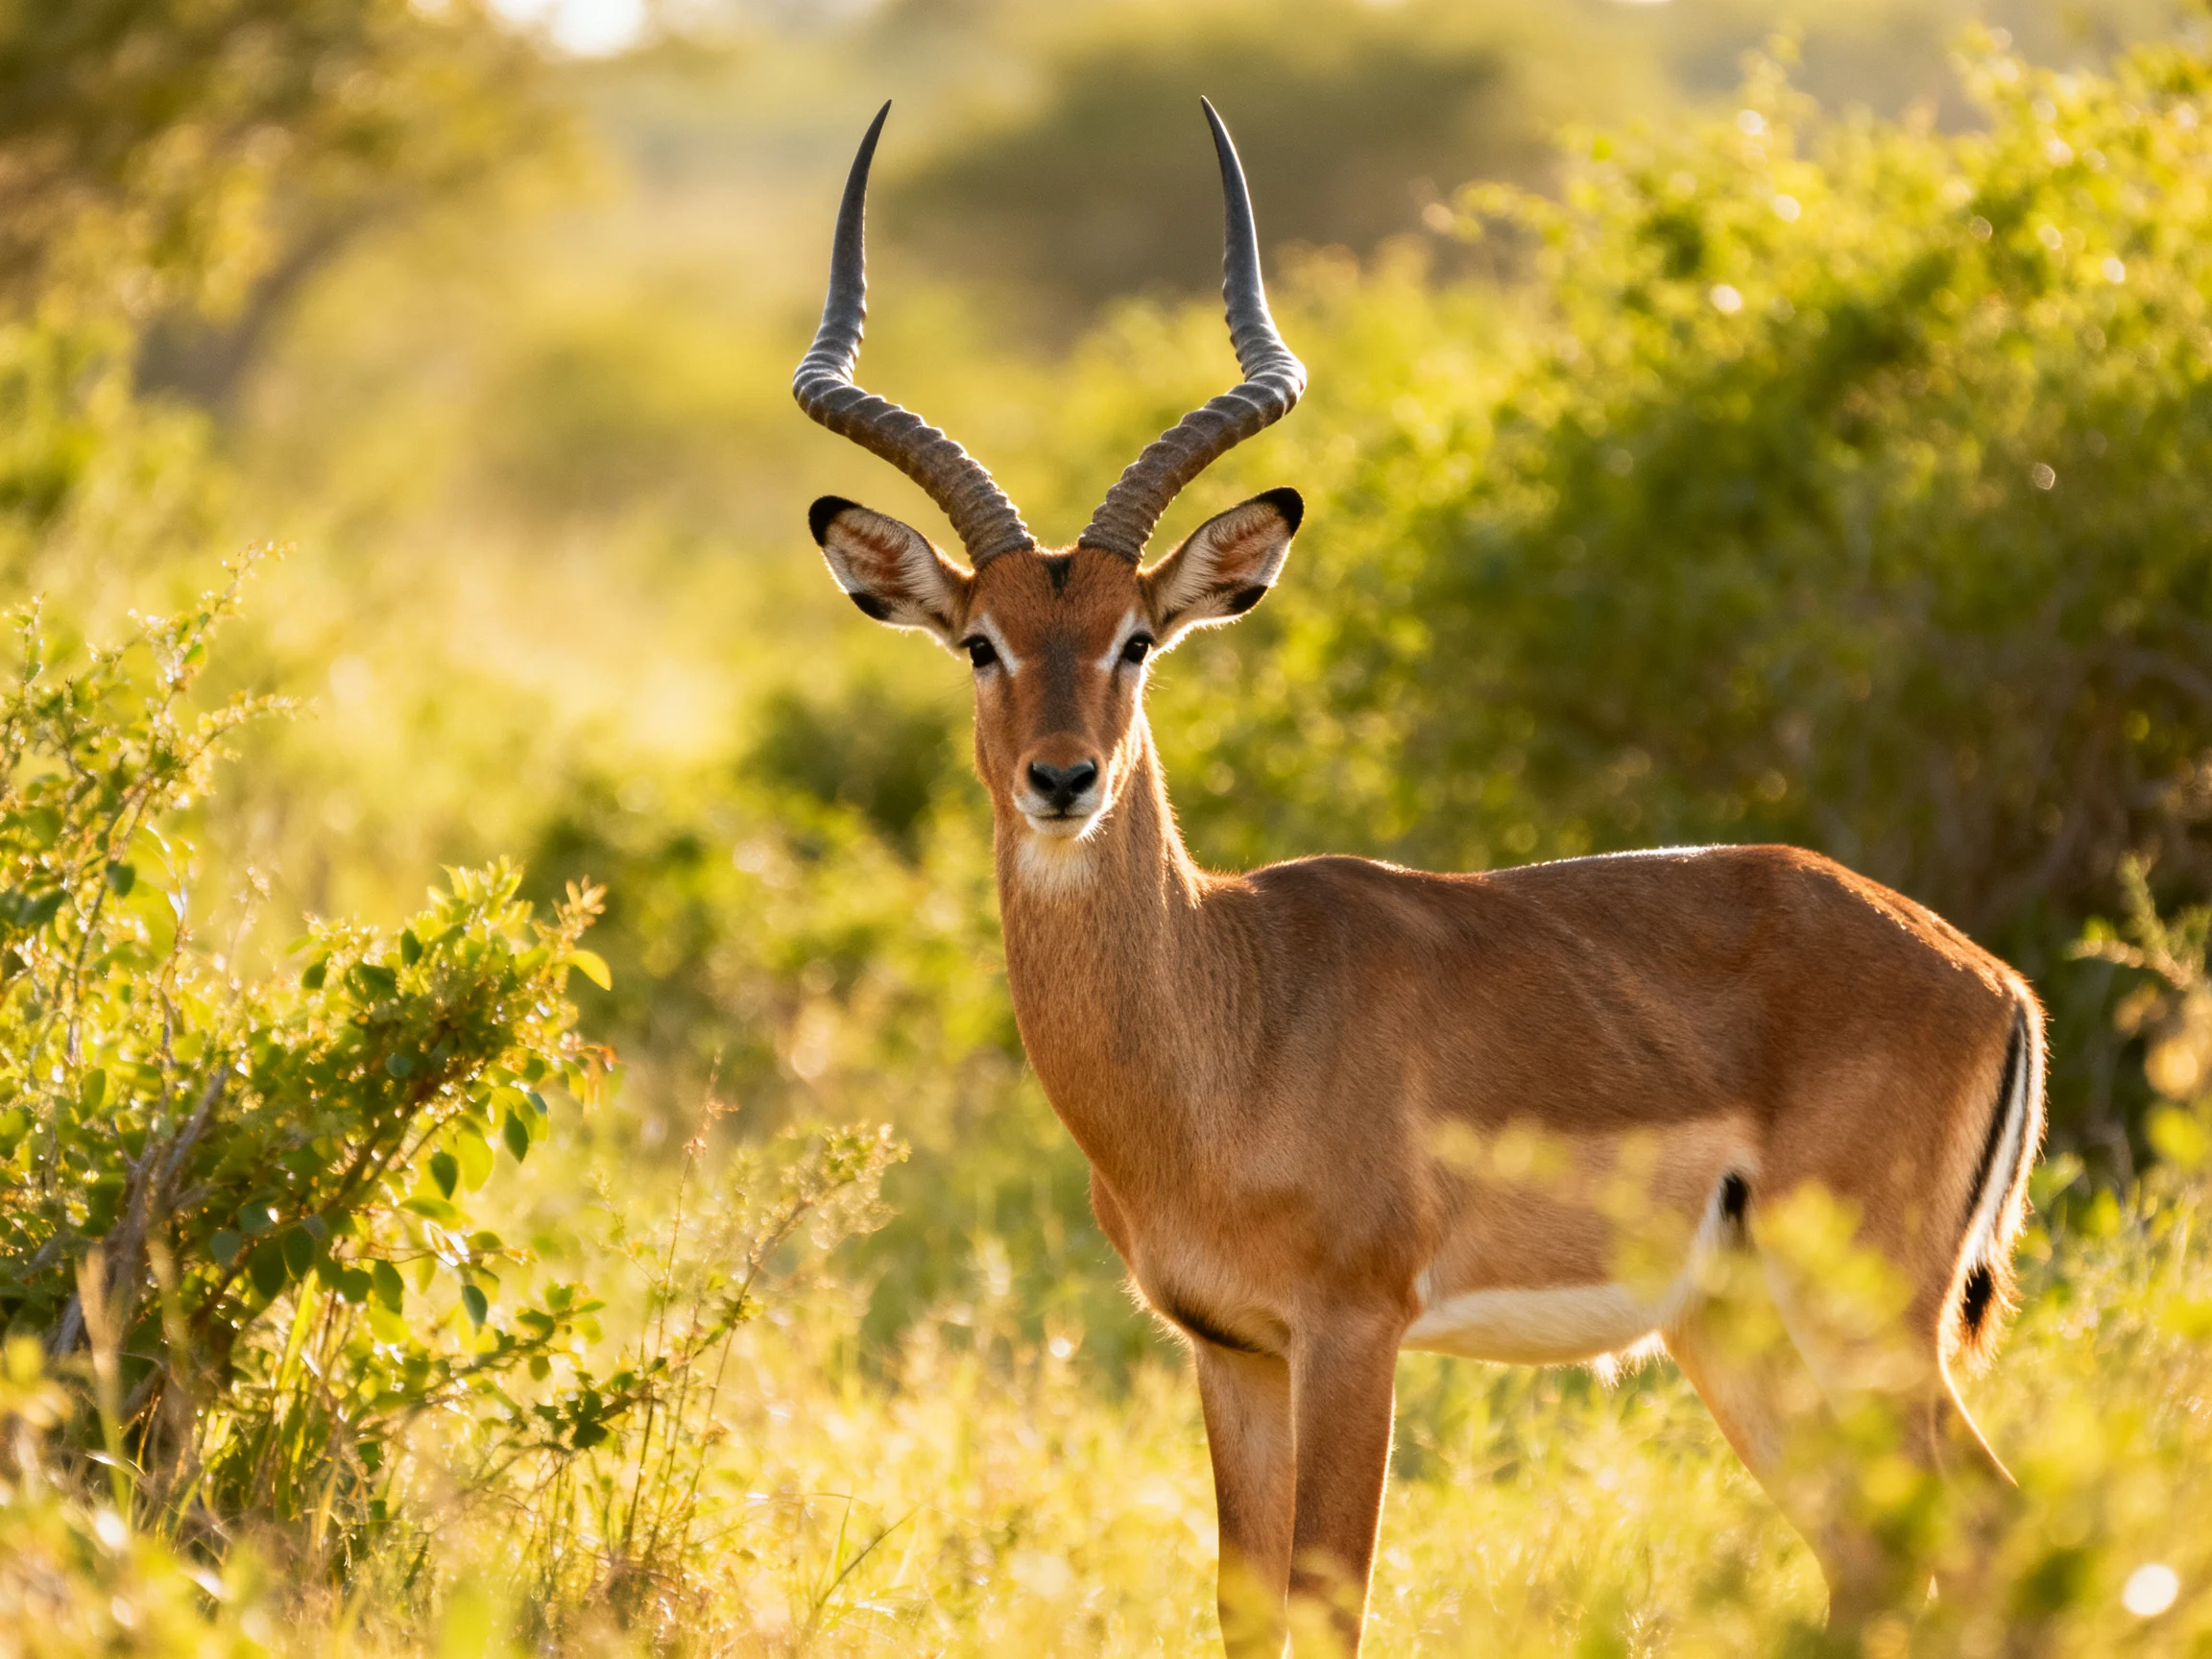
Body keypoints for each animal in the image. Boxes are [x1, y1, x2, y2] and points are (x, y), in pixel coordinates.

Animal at [792, 101, 2046, 1653]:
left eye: (1138, 638)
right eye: (982, 642)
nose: (1065, 779)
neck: (1229, 1018)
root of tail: (1991, 978)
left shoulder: (1354, 1332)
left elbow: (1334, 1602)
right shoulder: (1231, 1352)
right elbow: (1247, 1609)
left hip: (1869, 1317)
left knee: (1989, 1521)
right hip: (1736, 1328)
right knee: (1875, 1554)